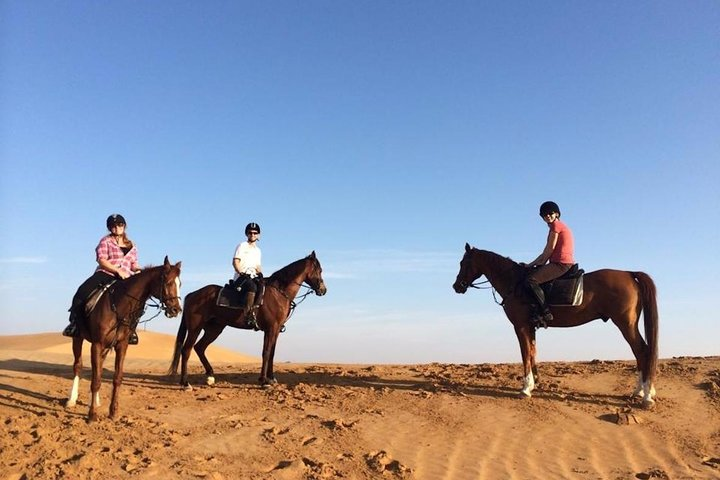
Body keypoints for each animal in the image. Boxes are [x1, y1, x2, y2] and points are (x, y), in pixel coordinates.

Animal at [67, 256, 183, 422]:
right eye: (167, 282)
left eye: (180, 284)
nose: (176, 310)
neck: (119, 307)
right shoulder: (97, 344)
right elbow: (95, 380)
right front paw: (92, 414)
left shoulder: (121, 346)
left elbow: (116, 378)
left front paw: (113, 412)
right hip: (78, 338)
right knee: (78, 366)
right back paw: (72, 400)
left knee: (98, 368)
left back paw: (96, 401)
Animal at [169, 251, 326, 390]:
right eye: (319, 270)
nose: (323, 290)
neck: (278, 293)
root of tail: (192, 294)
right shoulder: (270, 328)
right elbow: (266, 353)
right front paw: (263, 381)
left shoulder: (276, 330)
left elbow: (272, 353)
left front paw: (271, 378)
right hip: (195, 328)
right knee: (186, 350)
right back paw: (185, 383)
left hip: (214, 329)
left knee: (200, 347)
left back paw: (210, 376)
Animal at [452, 244, 660, 408]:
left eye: (464, 263)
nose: (457, 286)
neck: (516, 284)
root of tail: (629, 274)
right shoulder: (531, 327)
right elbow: (532, 352)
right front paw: (534, 383)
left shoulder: (520, 326)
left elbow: (525, 354)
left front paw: (526, 388)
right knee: (641, 352)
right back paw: (640, 391)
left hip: (626, 324)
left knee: (642, 350)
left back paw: (646, 395)